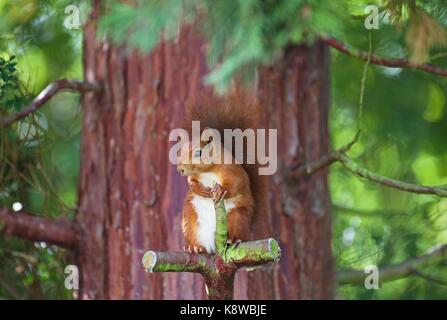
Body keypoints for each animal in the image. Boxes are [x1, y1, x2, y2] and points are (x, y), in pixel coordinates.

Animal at [177, 92, 268, 255]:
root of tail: (214, 247)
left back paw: (234, 240)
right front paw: (199, 189)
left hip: (238, 217)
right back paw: (194, 247)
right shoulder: (194, 175)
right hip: (190, 218)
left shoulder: (232, 170)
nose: (180, 169)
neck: (208, 171)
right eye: (180, 151)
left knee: (238, 231)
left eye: (198, 152)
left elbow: (237, 183)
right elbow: (191, 181)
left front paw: (221, 190)